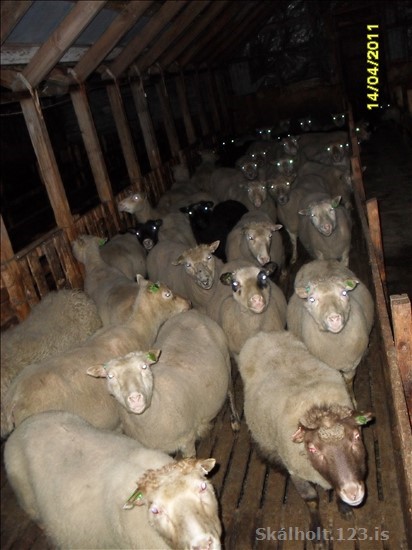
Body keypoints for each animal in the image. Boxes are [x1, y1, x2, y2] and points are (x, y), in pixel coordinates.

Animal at [88, 309, 241, 457]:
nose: (135, 398)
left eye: (144, 367)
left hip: (226, 360)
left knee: (231, 390)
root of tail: (192, 312)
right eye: (110, 376)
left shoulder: (187, 440)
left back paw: (235, 422)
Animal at [238, 330, 373, 546]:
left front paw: (344, 508)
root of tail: (265, 334)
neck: (318, 407)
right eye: (312, 449)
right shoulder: (297, 472)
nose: (353, 492)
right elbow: (311, 499)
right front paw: (317, 533)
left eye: (356, 436)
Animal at [286, 259, 375, 403]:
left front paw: (352, 400)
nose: (334, 318)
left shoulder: (352, 363)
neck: (337, 344)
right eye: (311, 299)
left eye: (344, 293)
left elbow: (349, 382)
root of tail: (319, 261)